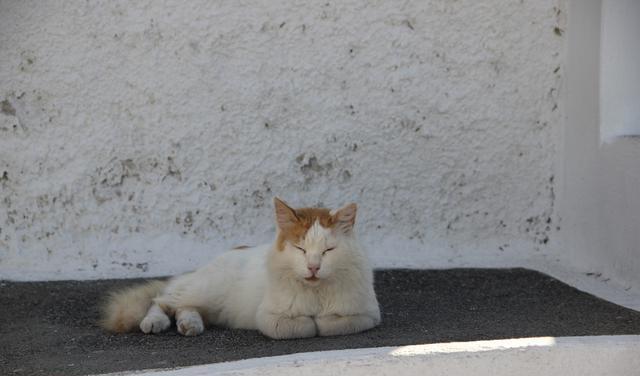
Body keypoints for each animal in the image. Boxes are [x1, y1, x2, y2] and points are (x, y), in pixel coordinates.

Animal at [101, 198, 380, 340]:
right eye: (300, 249)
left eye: (328, 251)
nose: (313, 267)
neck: (316, 292)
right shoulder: (268, 318)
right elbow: (303, 327)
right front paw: (311, 321)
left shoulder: (368, 315)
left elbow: (334, 323)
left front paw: (322, 319)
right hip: (205, 289)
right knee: (162, 300)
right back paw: (155, 322)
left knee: (183, 307)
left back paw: (190, 325)